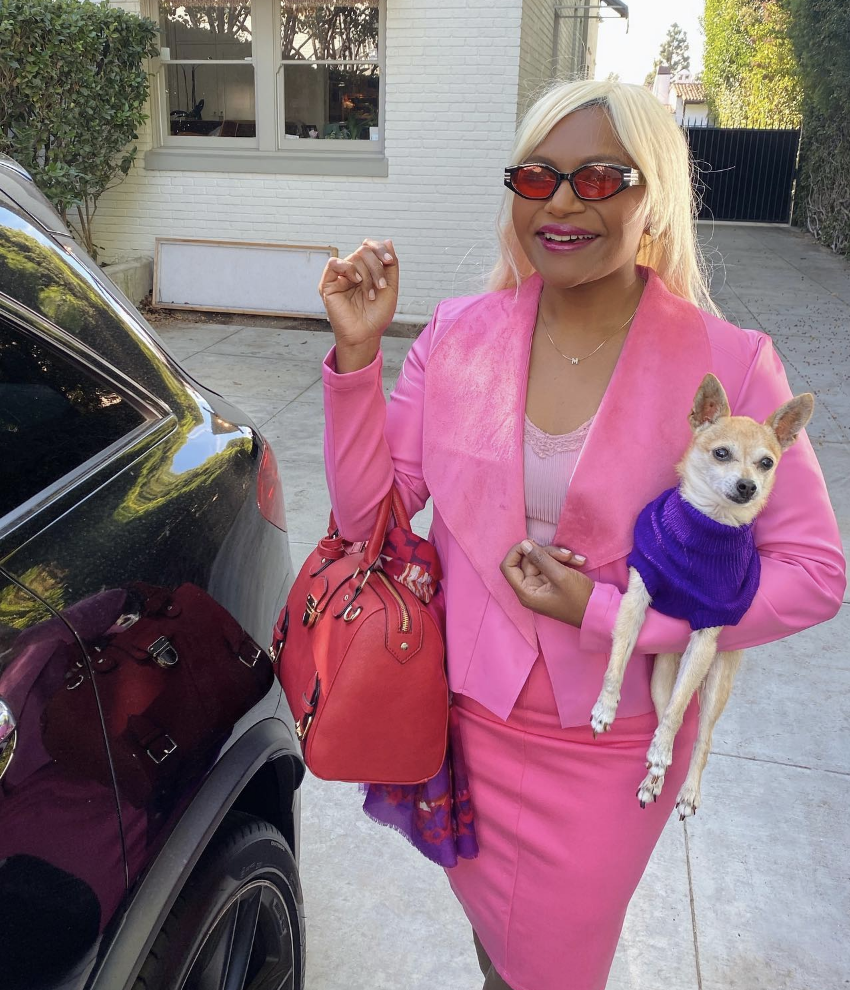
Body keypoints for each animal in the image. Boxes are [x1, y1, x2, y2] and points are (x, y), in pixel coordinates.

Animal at [588, 376, 812, 816]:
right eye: (721, 453)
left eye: (767, 463)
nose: (748, 485)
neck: (708, 525)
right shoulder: (637, 596)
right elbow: (617, 659)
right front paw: (606, 706)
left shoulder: (707, 634)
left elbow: (679, 716)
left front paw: (662, 755)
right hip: (661, 675)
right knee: (668, 714)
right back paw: (653, 780)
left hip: (716, 680)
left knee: (698, 734)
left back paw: (685, 787)